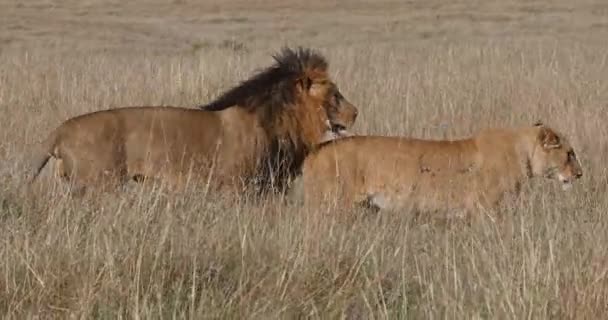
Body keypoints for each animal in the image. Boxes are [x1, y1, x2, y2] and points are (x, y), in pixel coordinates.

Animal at [300, 122, 584, 215]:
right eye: (569, 153)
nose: (580, 174)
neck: (522, 152)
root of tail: (314, 151)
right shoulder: (485, 209)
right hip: (332, 208)